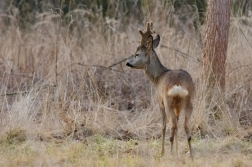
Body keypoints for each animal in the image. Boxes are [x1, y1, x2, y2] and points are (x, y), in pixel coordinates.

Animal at [126, 21, 195, 157]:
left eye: (137, 54)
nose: (127, 63)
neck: (158, 77)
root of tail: (178, 84)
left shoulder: (160, 102)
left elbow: (163, 126)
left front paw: (162, 151)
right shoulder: (177, 107)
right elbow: (177, 124)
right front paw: (177, 150)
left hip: (168, 101)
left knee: (172, 124)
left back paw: (170, 152)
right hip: (189, 100)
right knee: (184, 125)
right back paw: (190, 154)